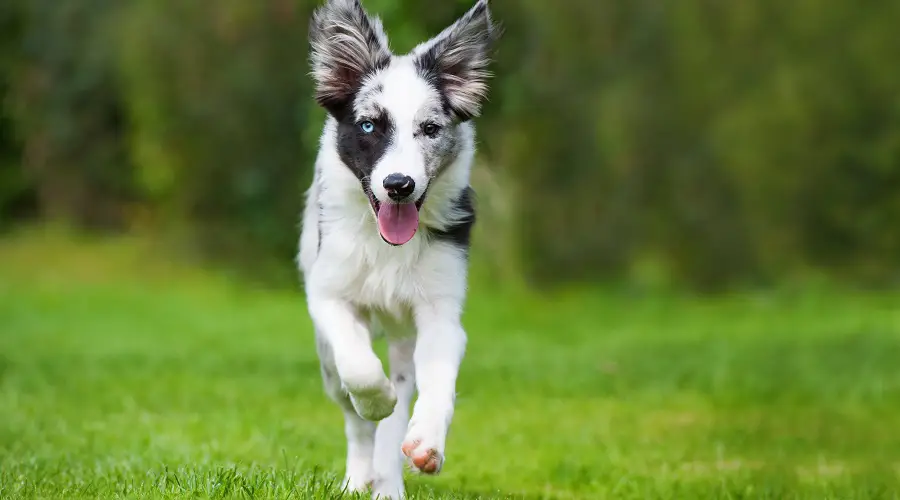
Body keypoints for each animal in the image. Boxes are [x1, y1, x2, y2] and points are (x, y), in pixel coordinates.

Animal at [298, 0, 500, 498]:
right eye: (369, 125)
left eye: (430, 129)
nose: (398, 185)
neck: (386, 244)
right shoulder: (328, 294)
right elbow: (359, 369)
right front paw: (377, 400)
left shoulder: (441, 311)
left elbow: (439, 379)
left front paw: (426, 443)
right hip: (326, 359)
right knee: (353, 415)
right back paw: (358, 477)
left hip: (405, 340)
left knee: (399, 408)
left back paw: (388, 482)